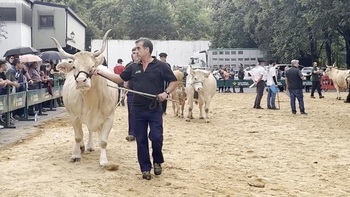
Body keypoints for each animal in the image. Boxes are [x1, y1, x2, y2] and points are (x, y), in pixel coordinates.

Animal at [51, 29, 118, 166]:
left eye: (92, 67)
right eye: (74, 67)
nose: (81, 81)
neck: (91, 101)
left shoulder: (109, 118)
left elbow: (103, 141)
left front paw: (104, 160)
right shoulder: (74, 116)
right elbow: (78, 136)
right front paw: (75, 154)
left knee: (91, 131)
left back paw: (90, 146)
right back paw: (81, 147)